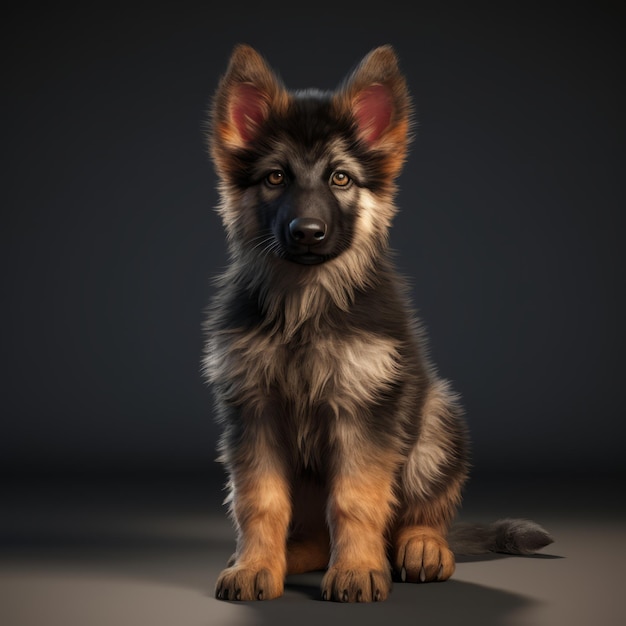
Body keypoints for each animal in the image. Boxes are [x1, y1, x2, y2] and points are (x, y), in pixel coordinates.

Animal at [202, 44, 548, 600]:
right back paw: (288, 556)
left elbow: (357, 498)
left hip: (436, 422)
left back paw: (421, 546)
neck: (306, 304)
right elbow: (260, 500)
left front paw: (359, 569)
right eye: (275, 177)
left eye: (340, 178)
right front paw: (256, 566)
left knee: (418, 514)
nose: (308, 232)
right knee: (314, 535)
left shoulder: (364, 410)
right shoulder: (253, 413)